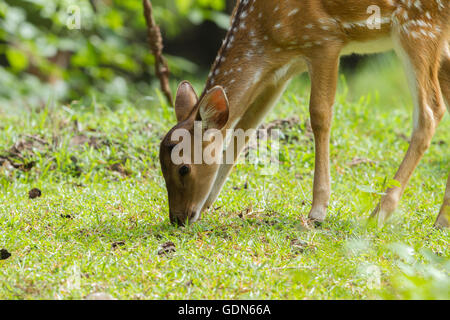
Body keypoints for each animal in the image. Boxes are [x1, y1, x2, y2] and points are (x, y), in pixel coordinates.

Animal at [159, 0, 450, 228]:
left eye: (183, 168)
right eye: (162, 165)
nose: (178, 219)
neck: (263, 31)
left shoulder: (324, 40)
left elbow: (319, 115)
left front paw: (318, 210)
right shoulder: (281, 69)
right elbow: (246, 128)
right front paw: (209, 203)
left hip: (419, 26)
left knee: (431, 111)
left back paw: (379, 214)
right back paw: (441, 220)